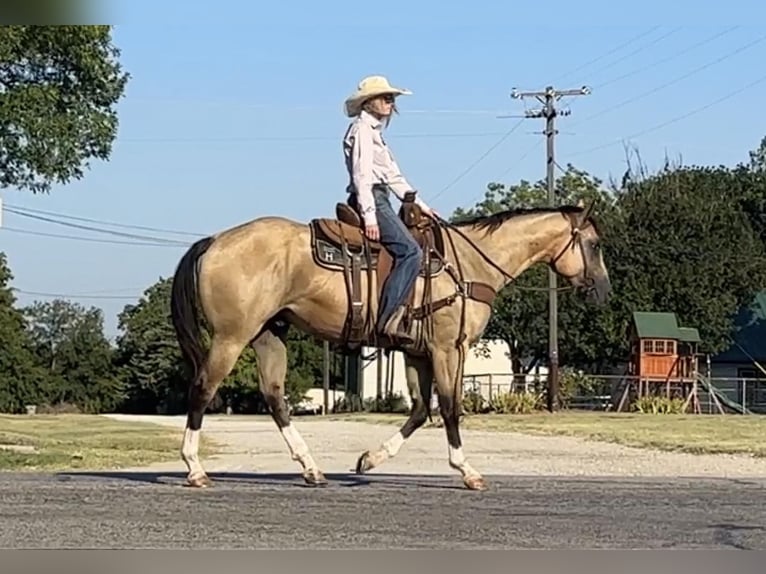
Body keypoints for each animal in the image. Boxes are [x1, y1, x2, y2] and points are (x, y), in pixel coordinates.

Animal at [168, 194, 612, 490]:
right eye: (594, 245)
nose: (603, 290)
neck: (469, 265)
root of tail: (214, 240)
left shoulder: (417, 353)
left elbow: (419, 411)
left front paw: (369, 460)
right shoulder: (448, 349)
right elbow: (450, 408)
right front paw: (467, 471)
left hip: (267, 335)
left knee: (275, 396)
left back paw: (311, 468)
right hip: (232, 337)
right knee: (202, 389)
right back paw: (195, 469)